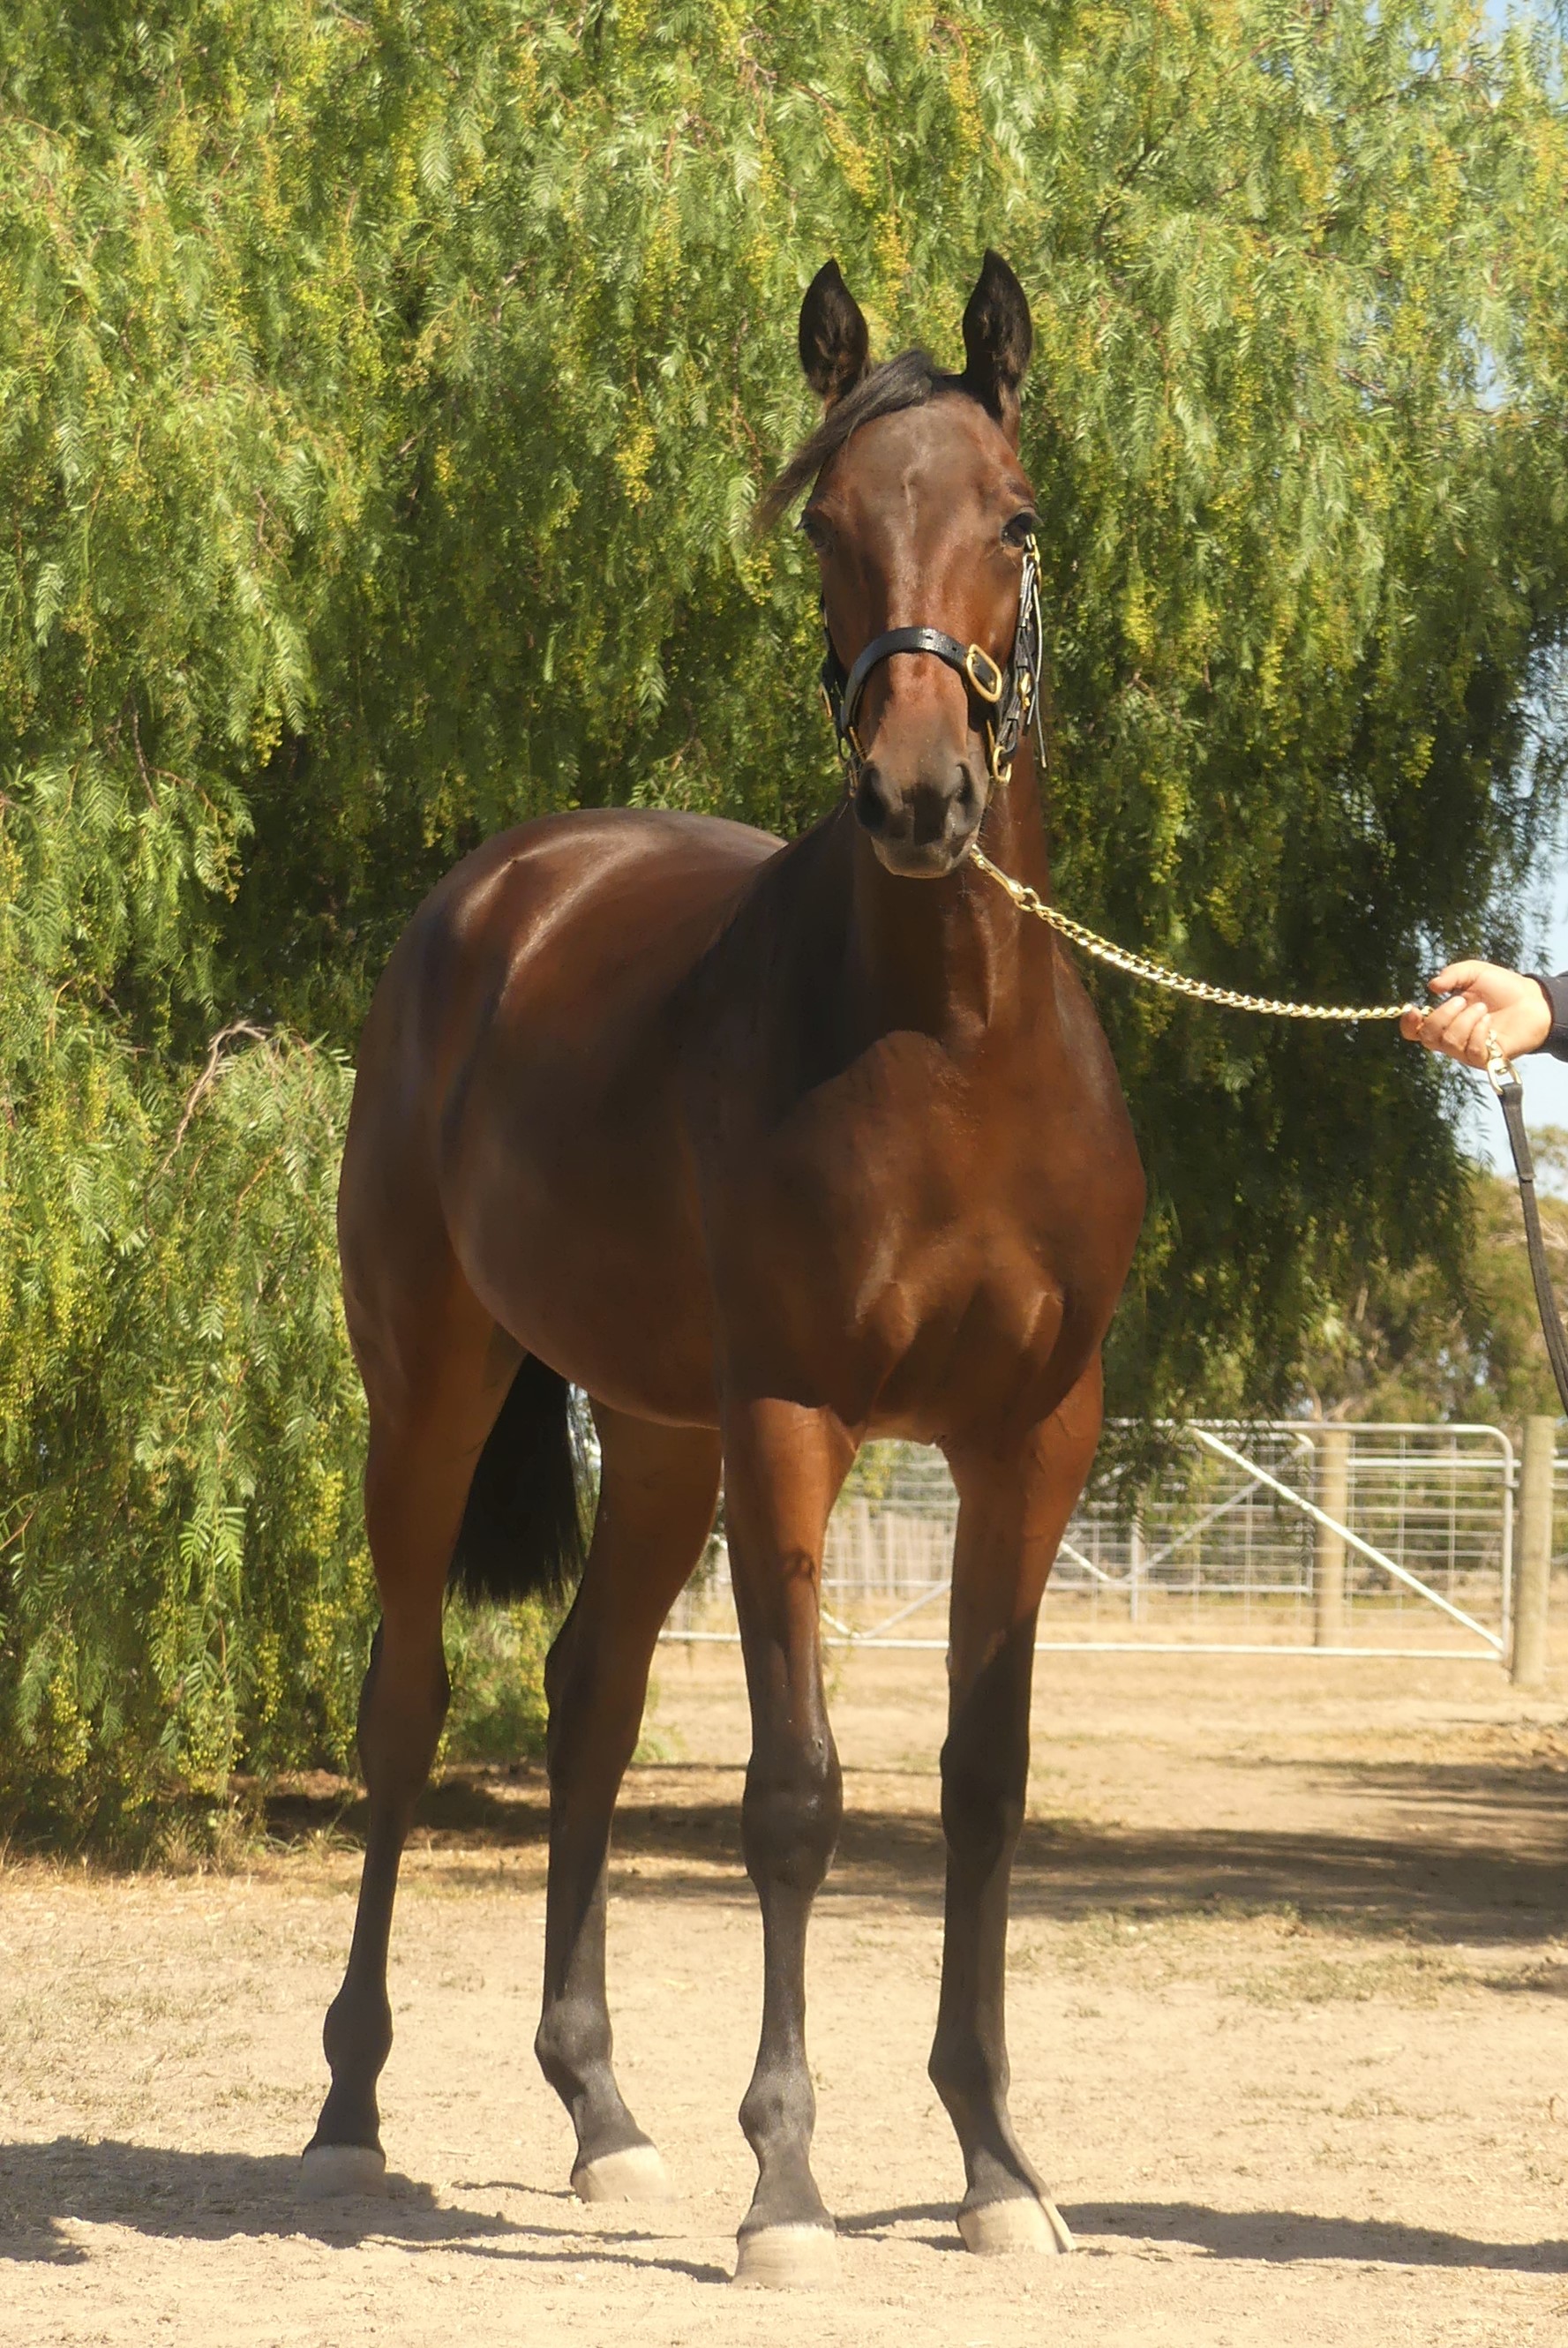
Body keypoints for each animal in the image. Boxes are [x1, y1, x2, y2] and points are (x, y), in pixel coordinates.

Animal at [300, 250, 1145, 2286]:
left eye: (1017, 518)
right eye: (826, 524)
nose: (916, 797)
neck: (948, 1045)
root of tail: (500, 892)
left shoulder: (1035, 1437)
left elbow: (983, 1782)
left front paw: (995, 2165)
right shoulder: (792, 1419)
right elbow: (794, 1794)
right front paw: (789, 2188)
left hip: (659, 1432)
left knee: (588, 1699)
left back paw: (602, 2119)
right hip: (437, 1388)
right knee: (408, 1705)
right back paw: (351, 2107)